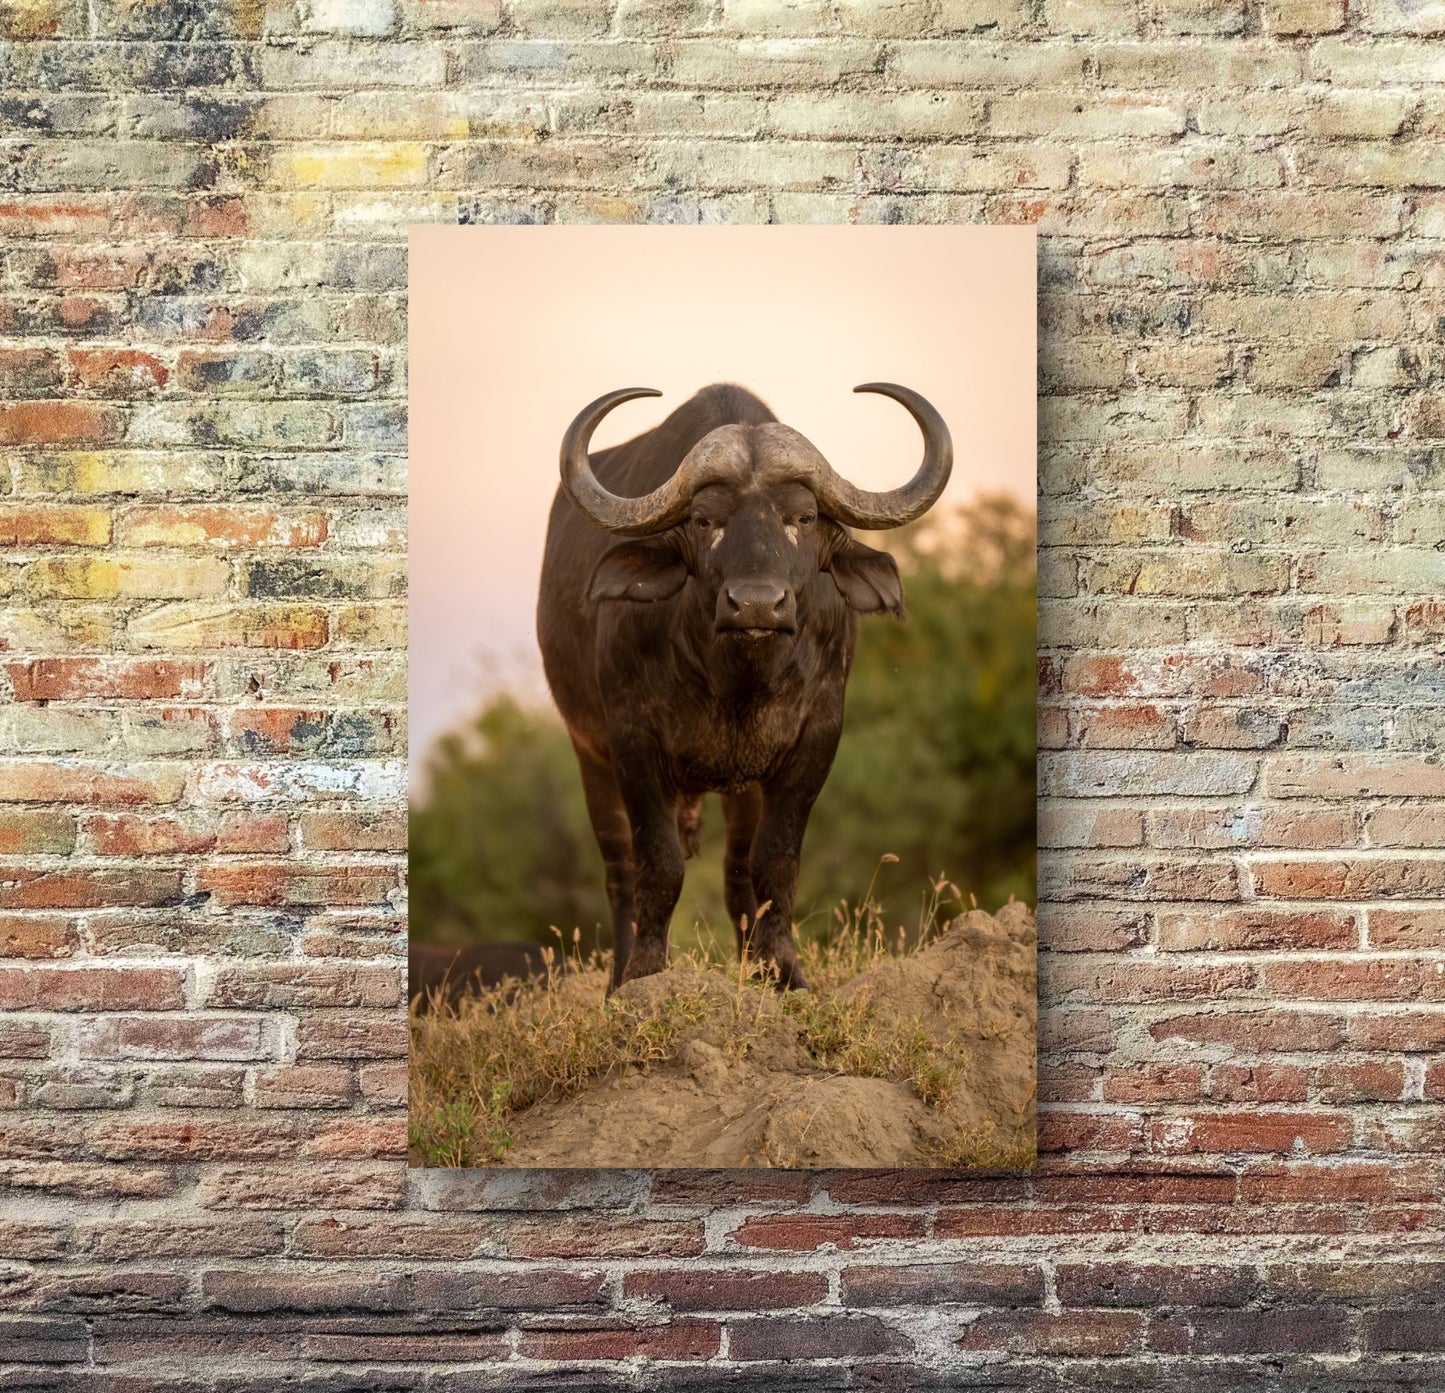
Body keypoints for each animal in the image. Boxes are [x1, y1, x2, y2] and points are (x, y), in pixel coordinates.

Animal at [537, 382, 952, 990]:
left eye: (803, 516)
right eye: (705, 520)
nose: (756, 604)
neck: (736, 681)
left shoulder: (814, 741)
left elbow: (773, 863)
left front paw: (783, 971)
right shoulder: (630, 740)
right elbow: (657, 865)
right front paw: (645, 973)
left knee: (736, 872)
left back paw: (751, 965)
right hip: (587, 752)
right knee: (619, 871)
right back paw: (618, 978)